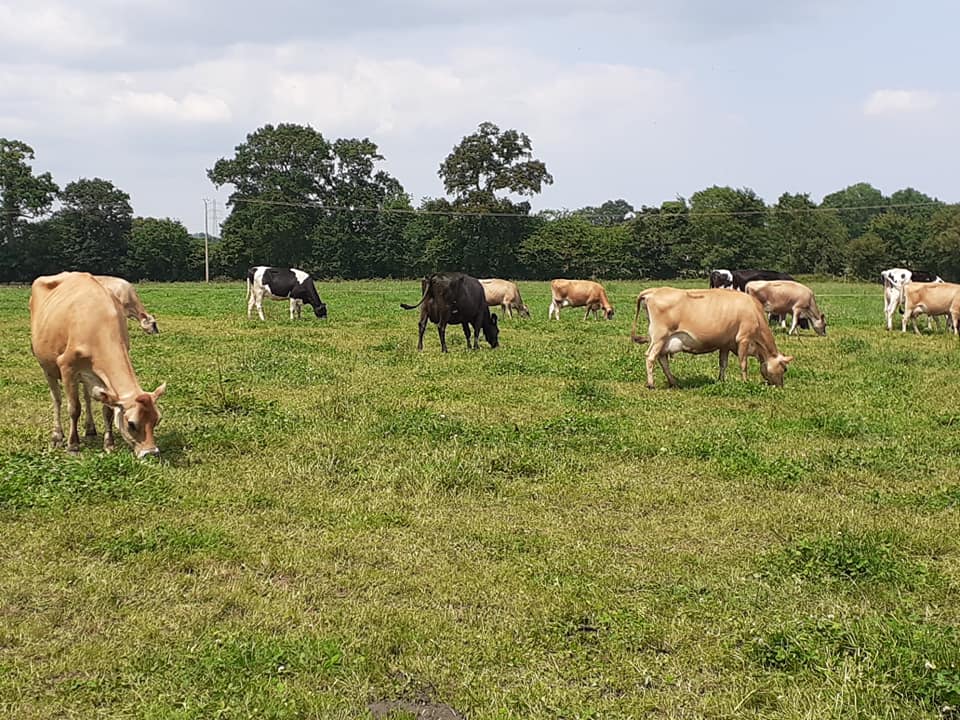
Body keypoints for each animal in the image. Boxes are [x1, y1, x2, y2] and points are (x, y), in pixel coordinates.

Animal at [30, 272, 167, 458]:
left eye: (157, 420)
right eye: (131, 424)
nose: (151, 452)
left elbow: (107, 410)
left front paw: (109, 444)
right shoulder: (67, 367)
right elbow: (74, 408)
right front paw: (73, 445)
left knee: (87, 397)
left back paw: (90, 429)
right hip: (46, 366)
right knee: (57, 399)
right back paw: (57, 436)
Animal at [628, 286, 792, 388]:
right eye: (784, 369)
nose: (780, 386)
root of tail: (654, 291)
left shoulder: (725, 344)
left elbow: (723, 363)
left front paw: (721, 380)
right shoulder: (743, 338)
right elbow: (743, 363)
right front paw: (745, 382)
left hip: (663, 340)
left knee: (662, 359)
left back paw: (674, 382)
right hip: (659, 336)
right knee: (650, 357)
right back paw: (651, 384)